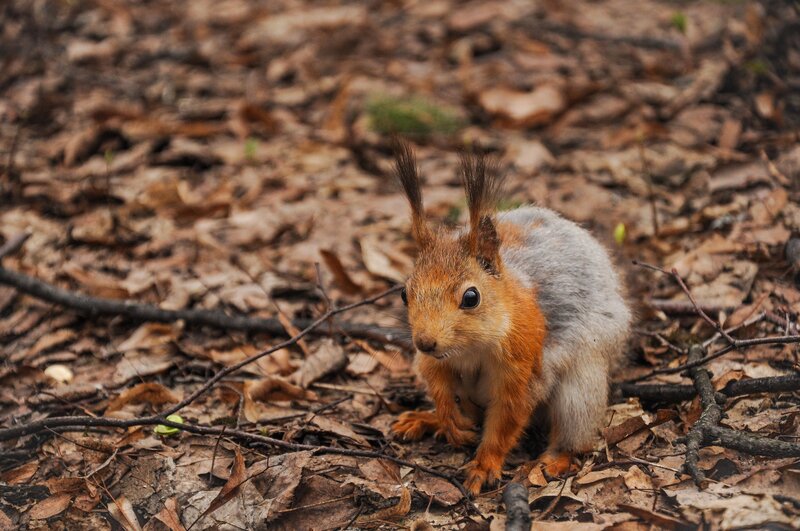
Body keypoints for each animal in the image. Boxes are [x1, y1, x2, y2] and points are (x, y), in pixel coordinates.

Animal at [390, 142, 632, 495]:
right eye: (404, 293)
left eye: (471, 297)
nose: (425, 342)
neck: (470, 348)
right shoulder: (434, 361)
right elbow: (437, 383)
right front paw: (446, 419)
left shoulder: (523, 366)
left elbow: (506, 419)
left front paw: (484, 465)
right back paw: (427, 419)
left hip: (580, 387)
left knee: (575, 432)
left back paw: (553, 460)